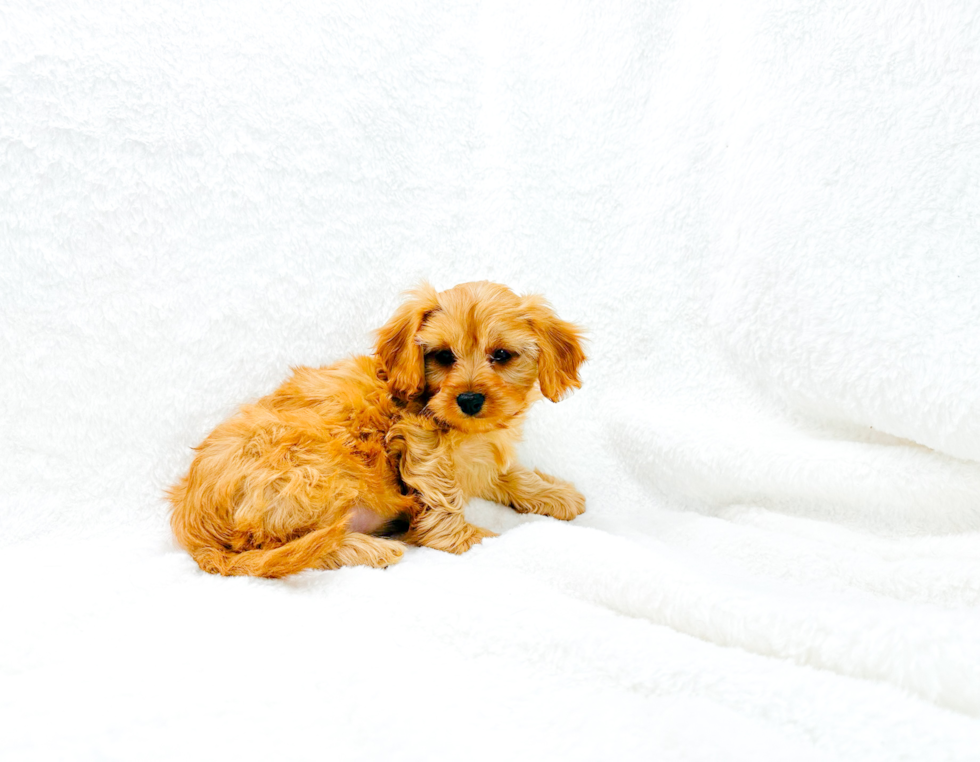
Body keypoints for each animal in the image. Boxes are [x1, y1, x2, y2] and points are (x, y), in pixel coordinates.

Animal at [166, 280, 584, 576]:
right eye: (443, 356)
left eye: (501, 355)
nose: (468, 400)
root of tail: (192, 530)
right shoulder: (420, 445)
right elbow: (444, 503)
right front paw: (476, 542)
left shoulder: (480, 456)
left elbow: (505, 474)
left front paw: (553, 493)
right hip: (309, 464)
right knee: (283, 551)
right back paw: (367, 548)